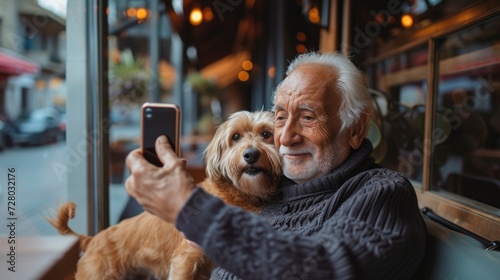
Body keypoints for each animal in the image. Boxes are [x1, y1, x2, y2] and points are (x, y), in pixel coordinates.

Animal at [47, 111, 282, 280]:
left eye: (266, 134)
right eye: (235, 137)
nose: (251, 154)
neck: (240, 195)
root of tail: (93, 239)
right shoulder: (186, 258)